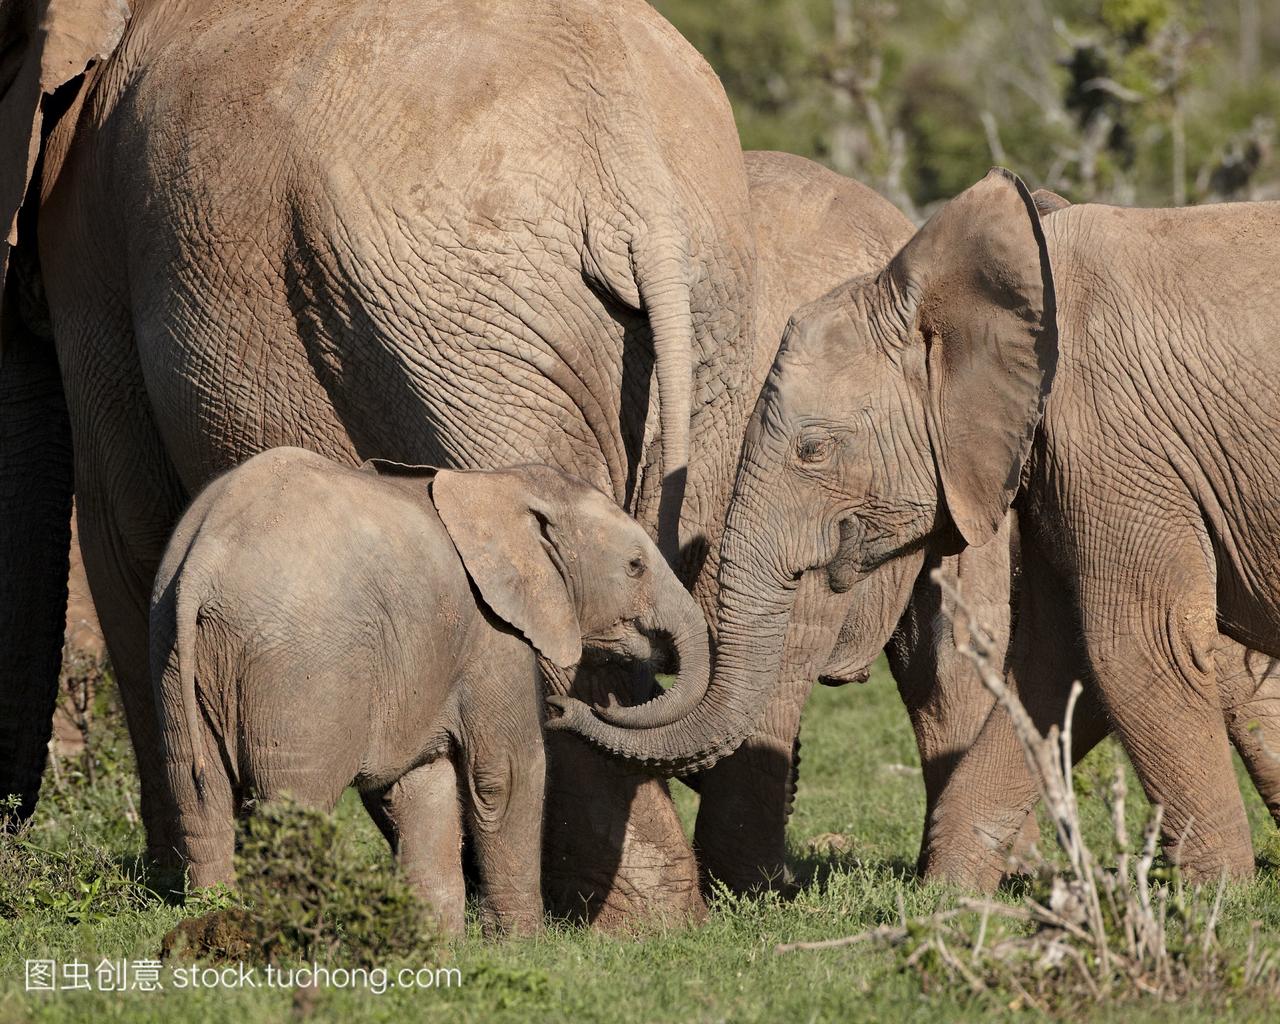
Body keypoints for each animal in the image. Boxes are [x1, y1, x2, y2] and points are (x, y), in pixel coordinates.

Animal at [152, 448, 711, 936]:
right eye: (636, 566)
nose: (562, 706)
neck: (498, 485)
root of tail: (206, 559)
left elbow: (420, 783)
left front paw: (436, 944)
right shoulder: (493, 632)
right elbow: (506, 774)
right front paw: (520, 945)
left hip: (173, 654)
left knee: (196, 791)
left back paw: (212, 920)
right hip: (301, 670)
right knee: (293, 804)